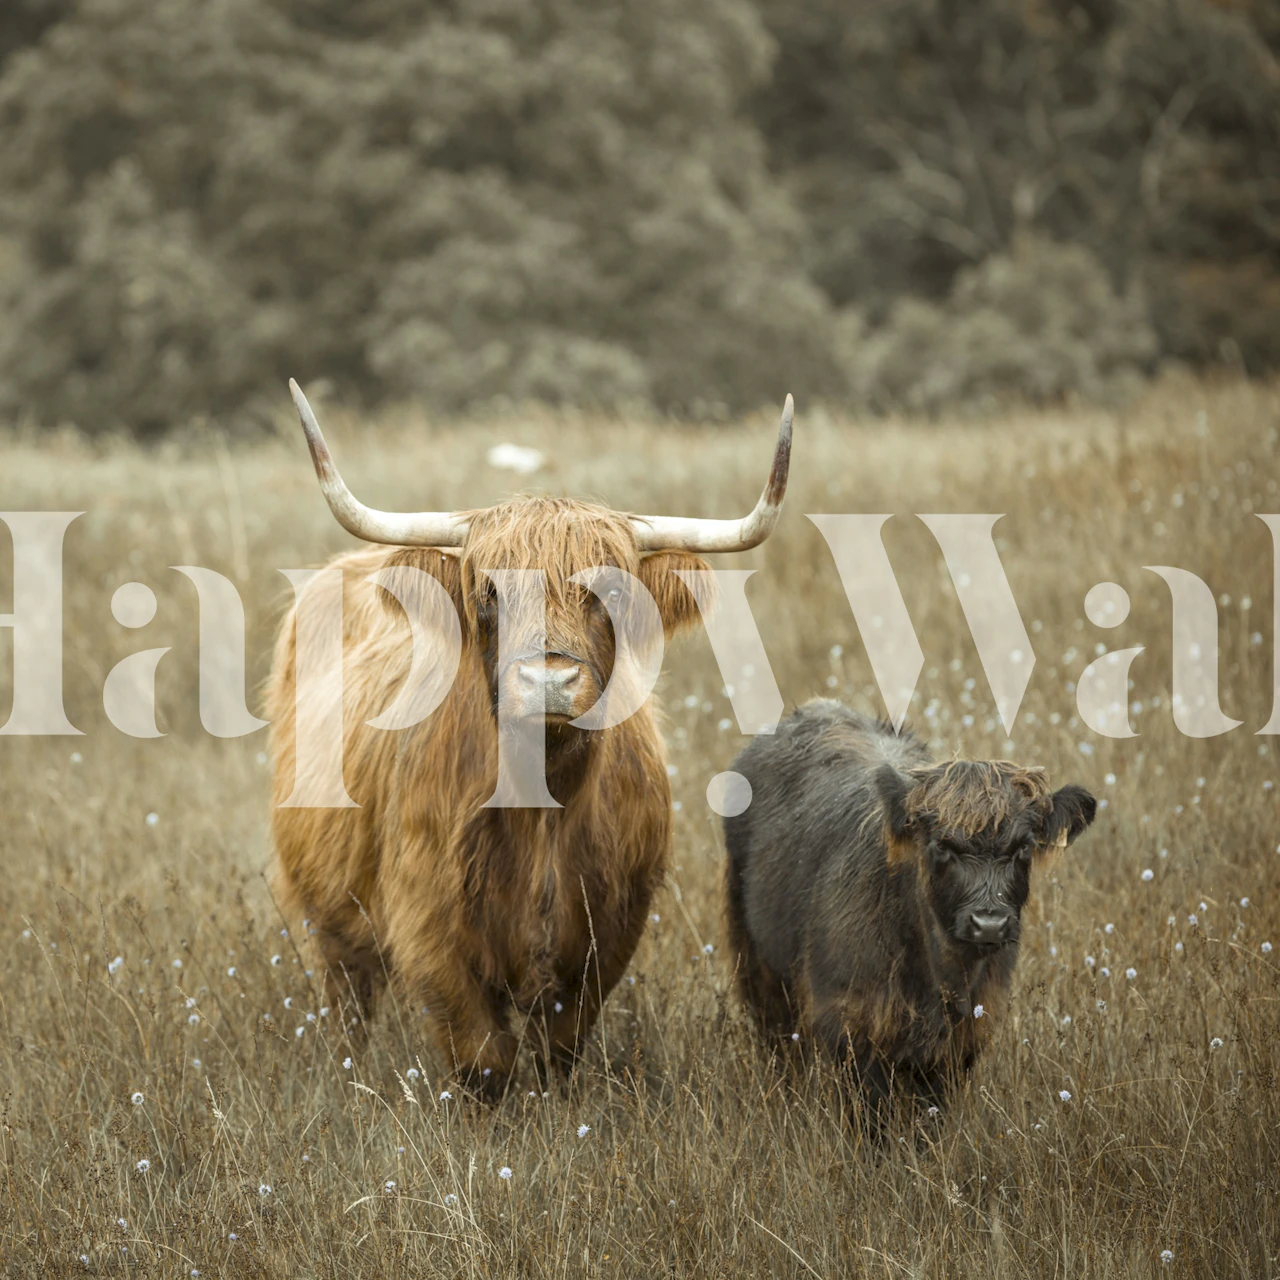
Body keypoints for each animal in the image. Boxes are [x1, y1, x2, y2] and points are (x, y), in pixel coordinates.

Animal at [267, 380, 793, 1097]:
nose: (548, 680)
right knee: (349, 998)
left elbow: (557, 1054)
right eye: (489, 593)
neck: (542, 808)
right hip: (327, 912)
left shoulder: (607, 936)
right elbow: (484, 1061)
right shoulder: (431, 932)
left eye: (612, 595)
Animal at [723, 700, 1096, 1121]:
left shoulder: (962, 1042)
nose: (989, 924)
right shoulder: (853, 1027)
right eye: (941, 846)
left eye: (1024, 848)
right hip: (759, 968)